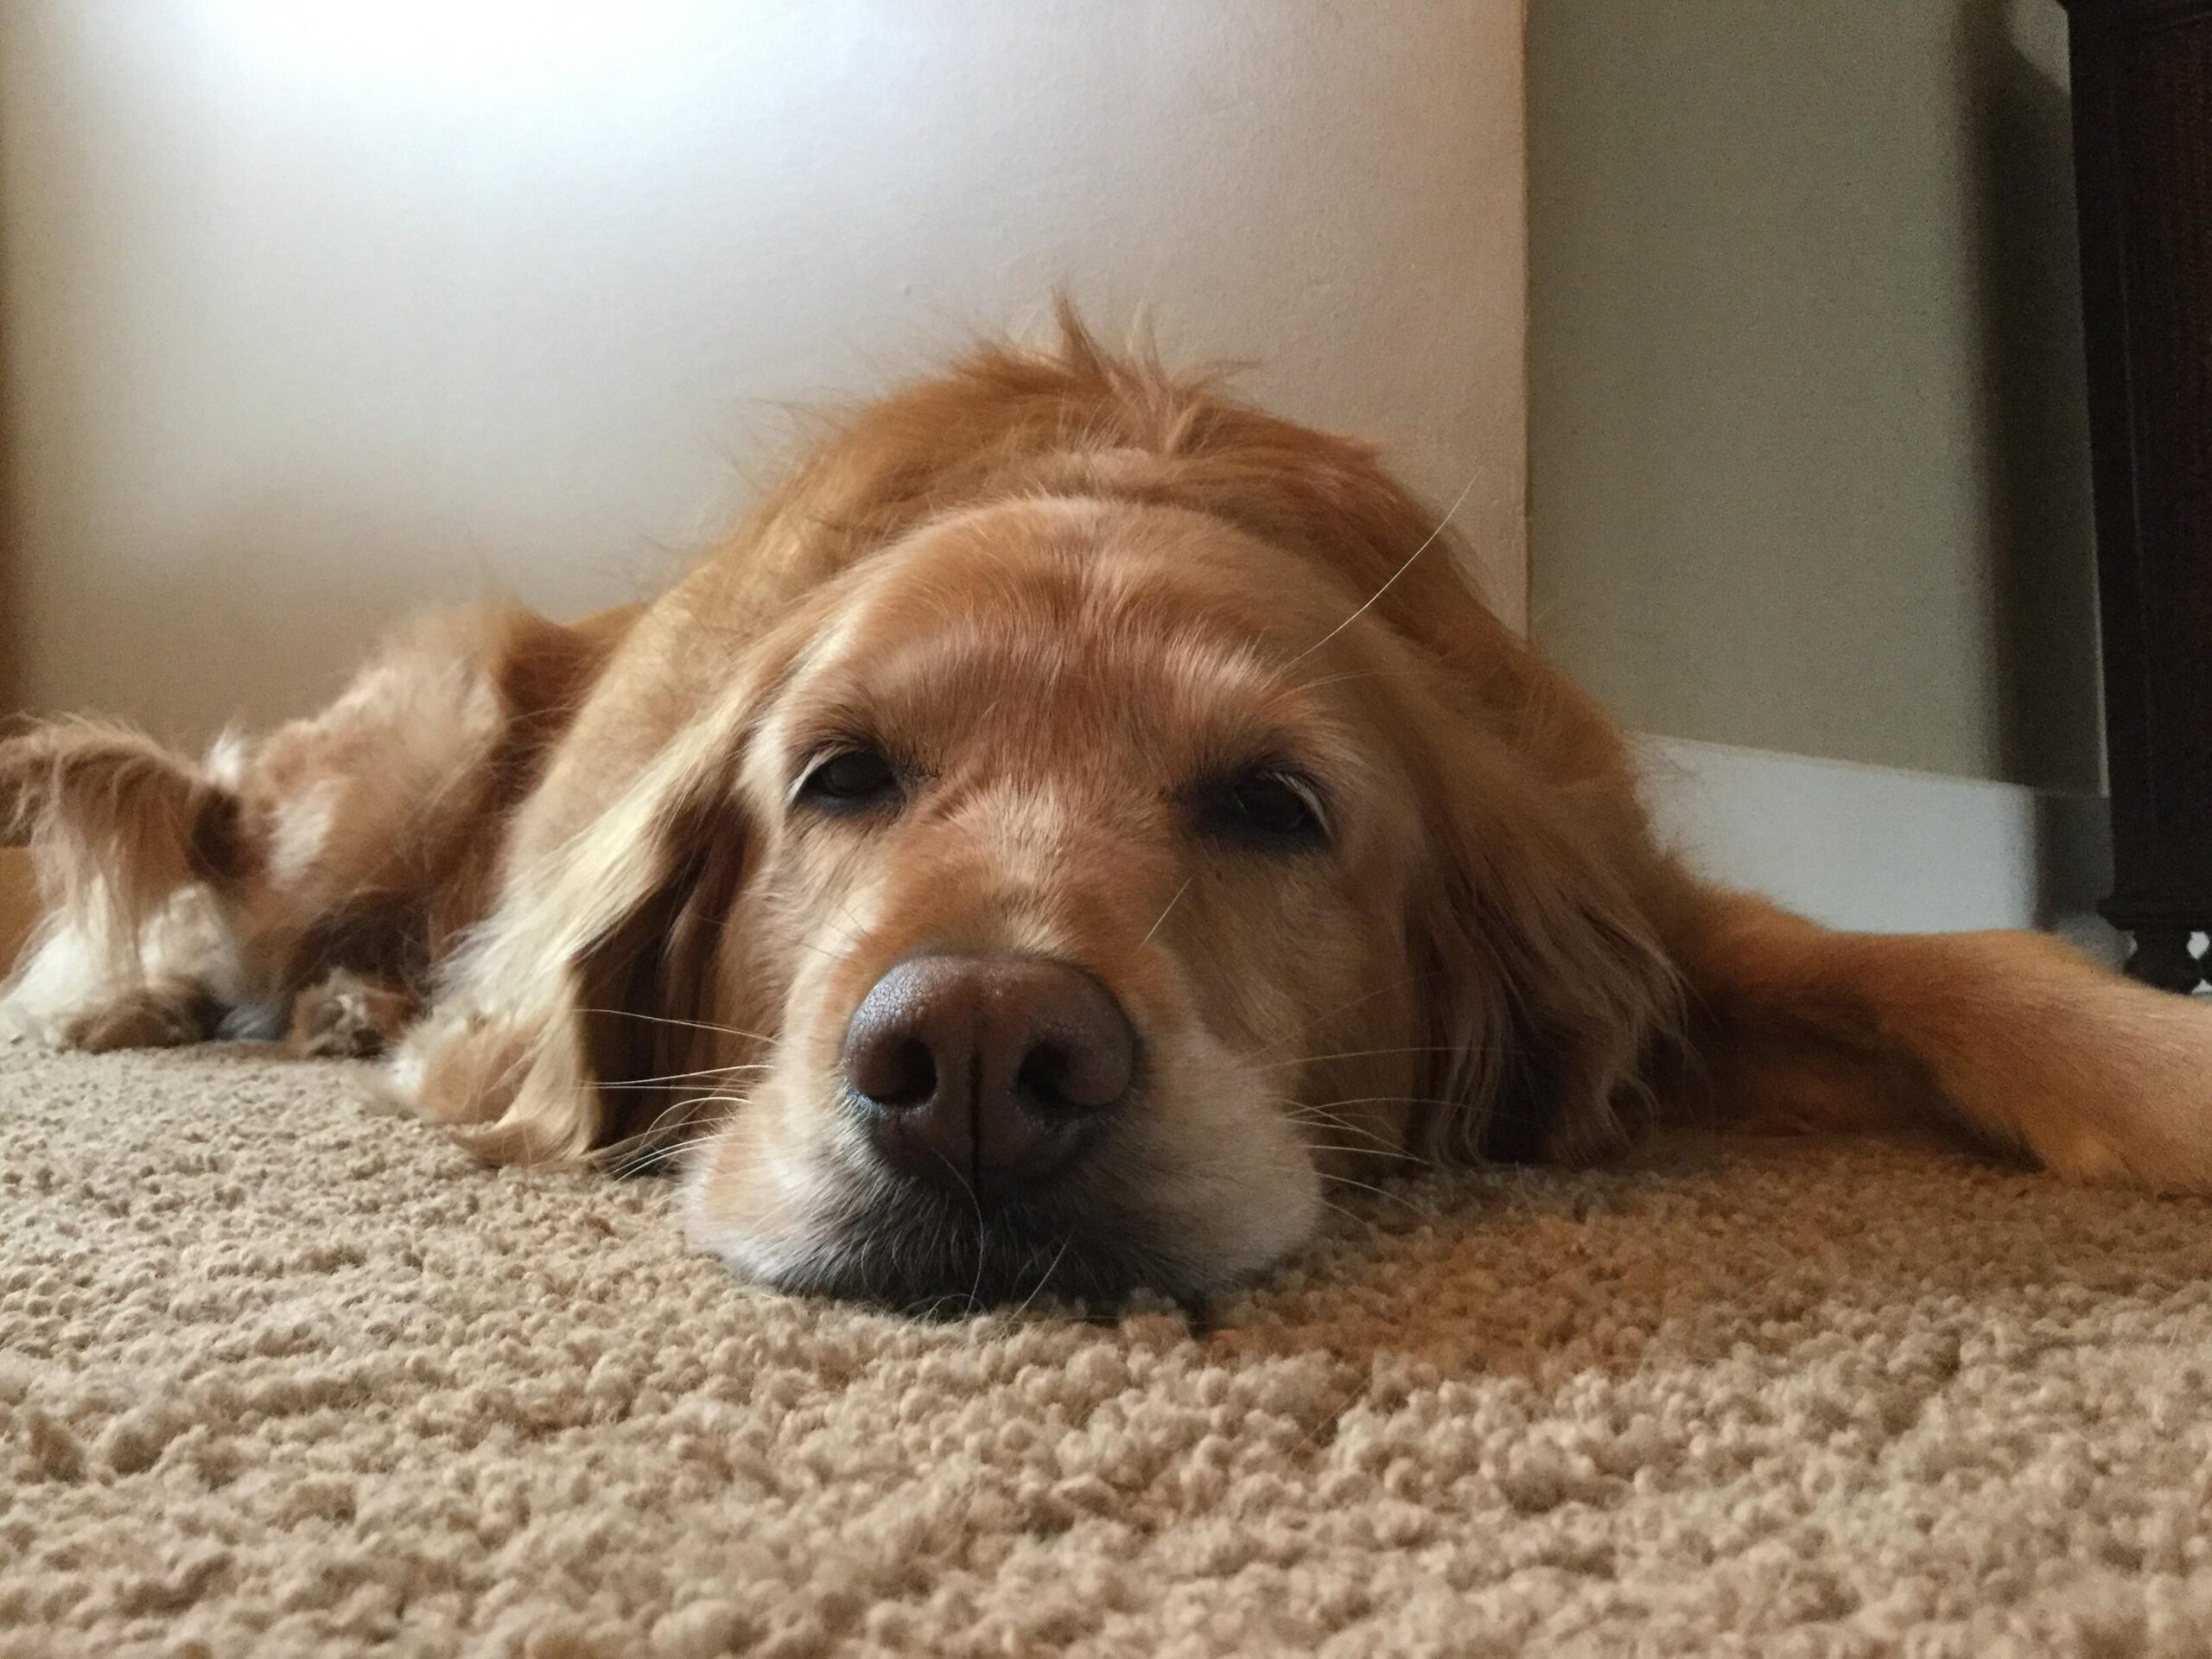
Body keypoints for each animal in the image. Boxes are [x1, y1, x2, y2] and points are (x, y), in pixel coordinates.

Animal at [4, 318, 2212, 1309]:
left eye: (1273, 804)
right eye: (837, 775)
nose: (981, 1057)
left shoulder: (1638, 911)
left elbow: (1950, 966)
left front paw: (2151, 1062)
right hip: (421, 732)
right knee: (209, 856)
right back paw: (160, 1001)